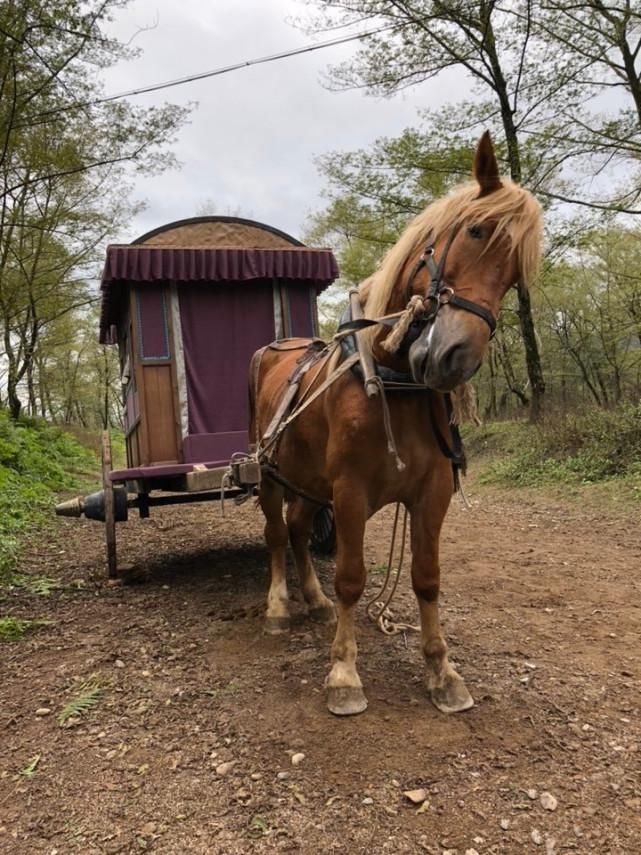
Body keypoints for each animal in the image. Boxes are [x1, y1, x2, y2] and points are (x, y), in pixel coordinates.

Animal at [249, 134, 540, 720]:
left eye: (515, 274)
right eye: (476, 231)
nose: (455, 357)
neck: (389, 377)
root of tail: (278, 348)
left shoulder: (432, 492)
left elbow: (426, 579)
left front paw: (442, 671)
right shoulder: (350, 492)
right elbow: (352, 578)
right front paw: (343, 673)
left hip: (308, 482)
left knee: (298, 529)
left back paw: (312, 599)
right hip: (271, 473)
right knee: (275, 534)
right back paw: (279, 607)